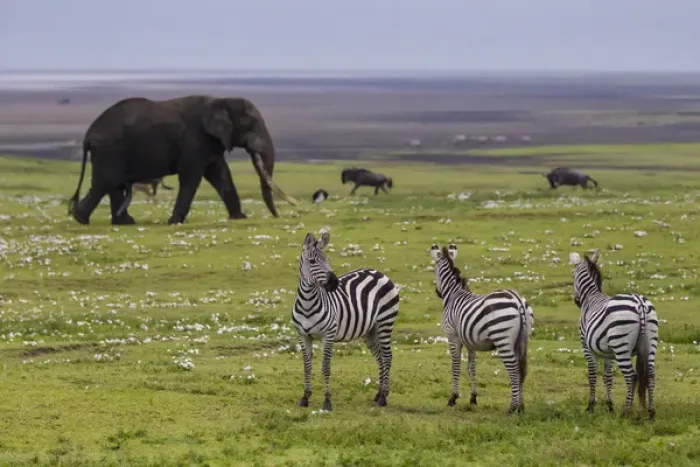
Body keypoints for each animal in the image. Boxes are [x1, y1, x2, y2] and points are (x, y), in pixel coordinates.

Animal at [67, 95, 298, 226]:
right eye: (252, 125)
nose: (278, 216)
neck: (220, 101)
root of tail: (88, 134)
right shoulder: (195, 139)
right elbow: (192, 176)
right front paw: (175, 222)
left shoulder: (211, 142)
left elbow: (220, 174)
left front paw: (239, 218)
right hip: (110, 149)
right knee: (107, 182)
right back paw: (81, 219)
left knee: (113, 184)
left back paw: (123, 223)